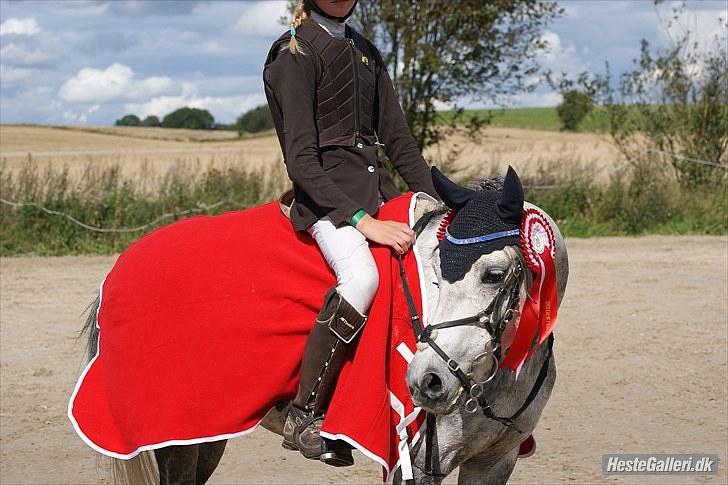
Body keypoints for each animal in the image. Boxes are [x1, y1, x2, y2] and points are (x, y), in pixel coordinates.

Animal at [76, 169, 568, 485]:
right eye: (432, 270)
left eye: (493, 274)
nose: (426, 382)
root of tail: (121, 266)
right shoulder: (415, 464)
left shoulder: (495, 461)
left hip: (203, 429)